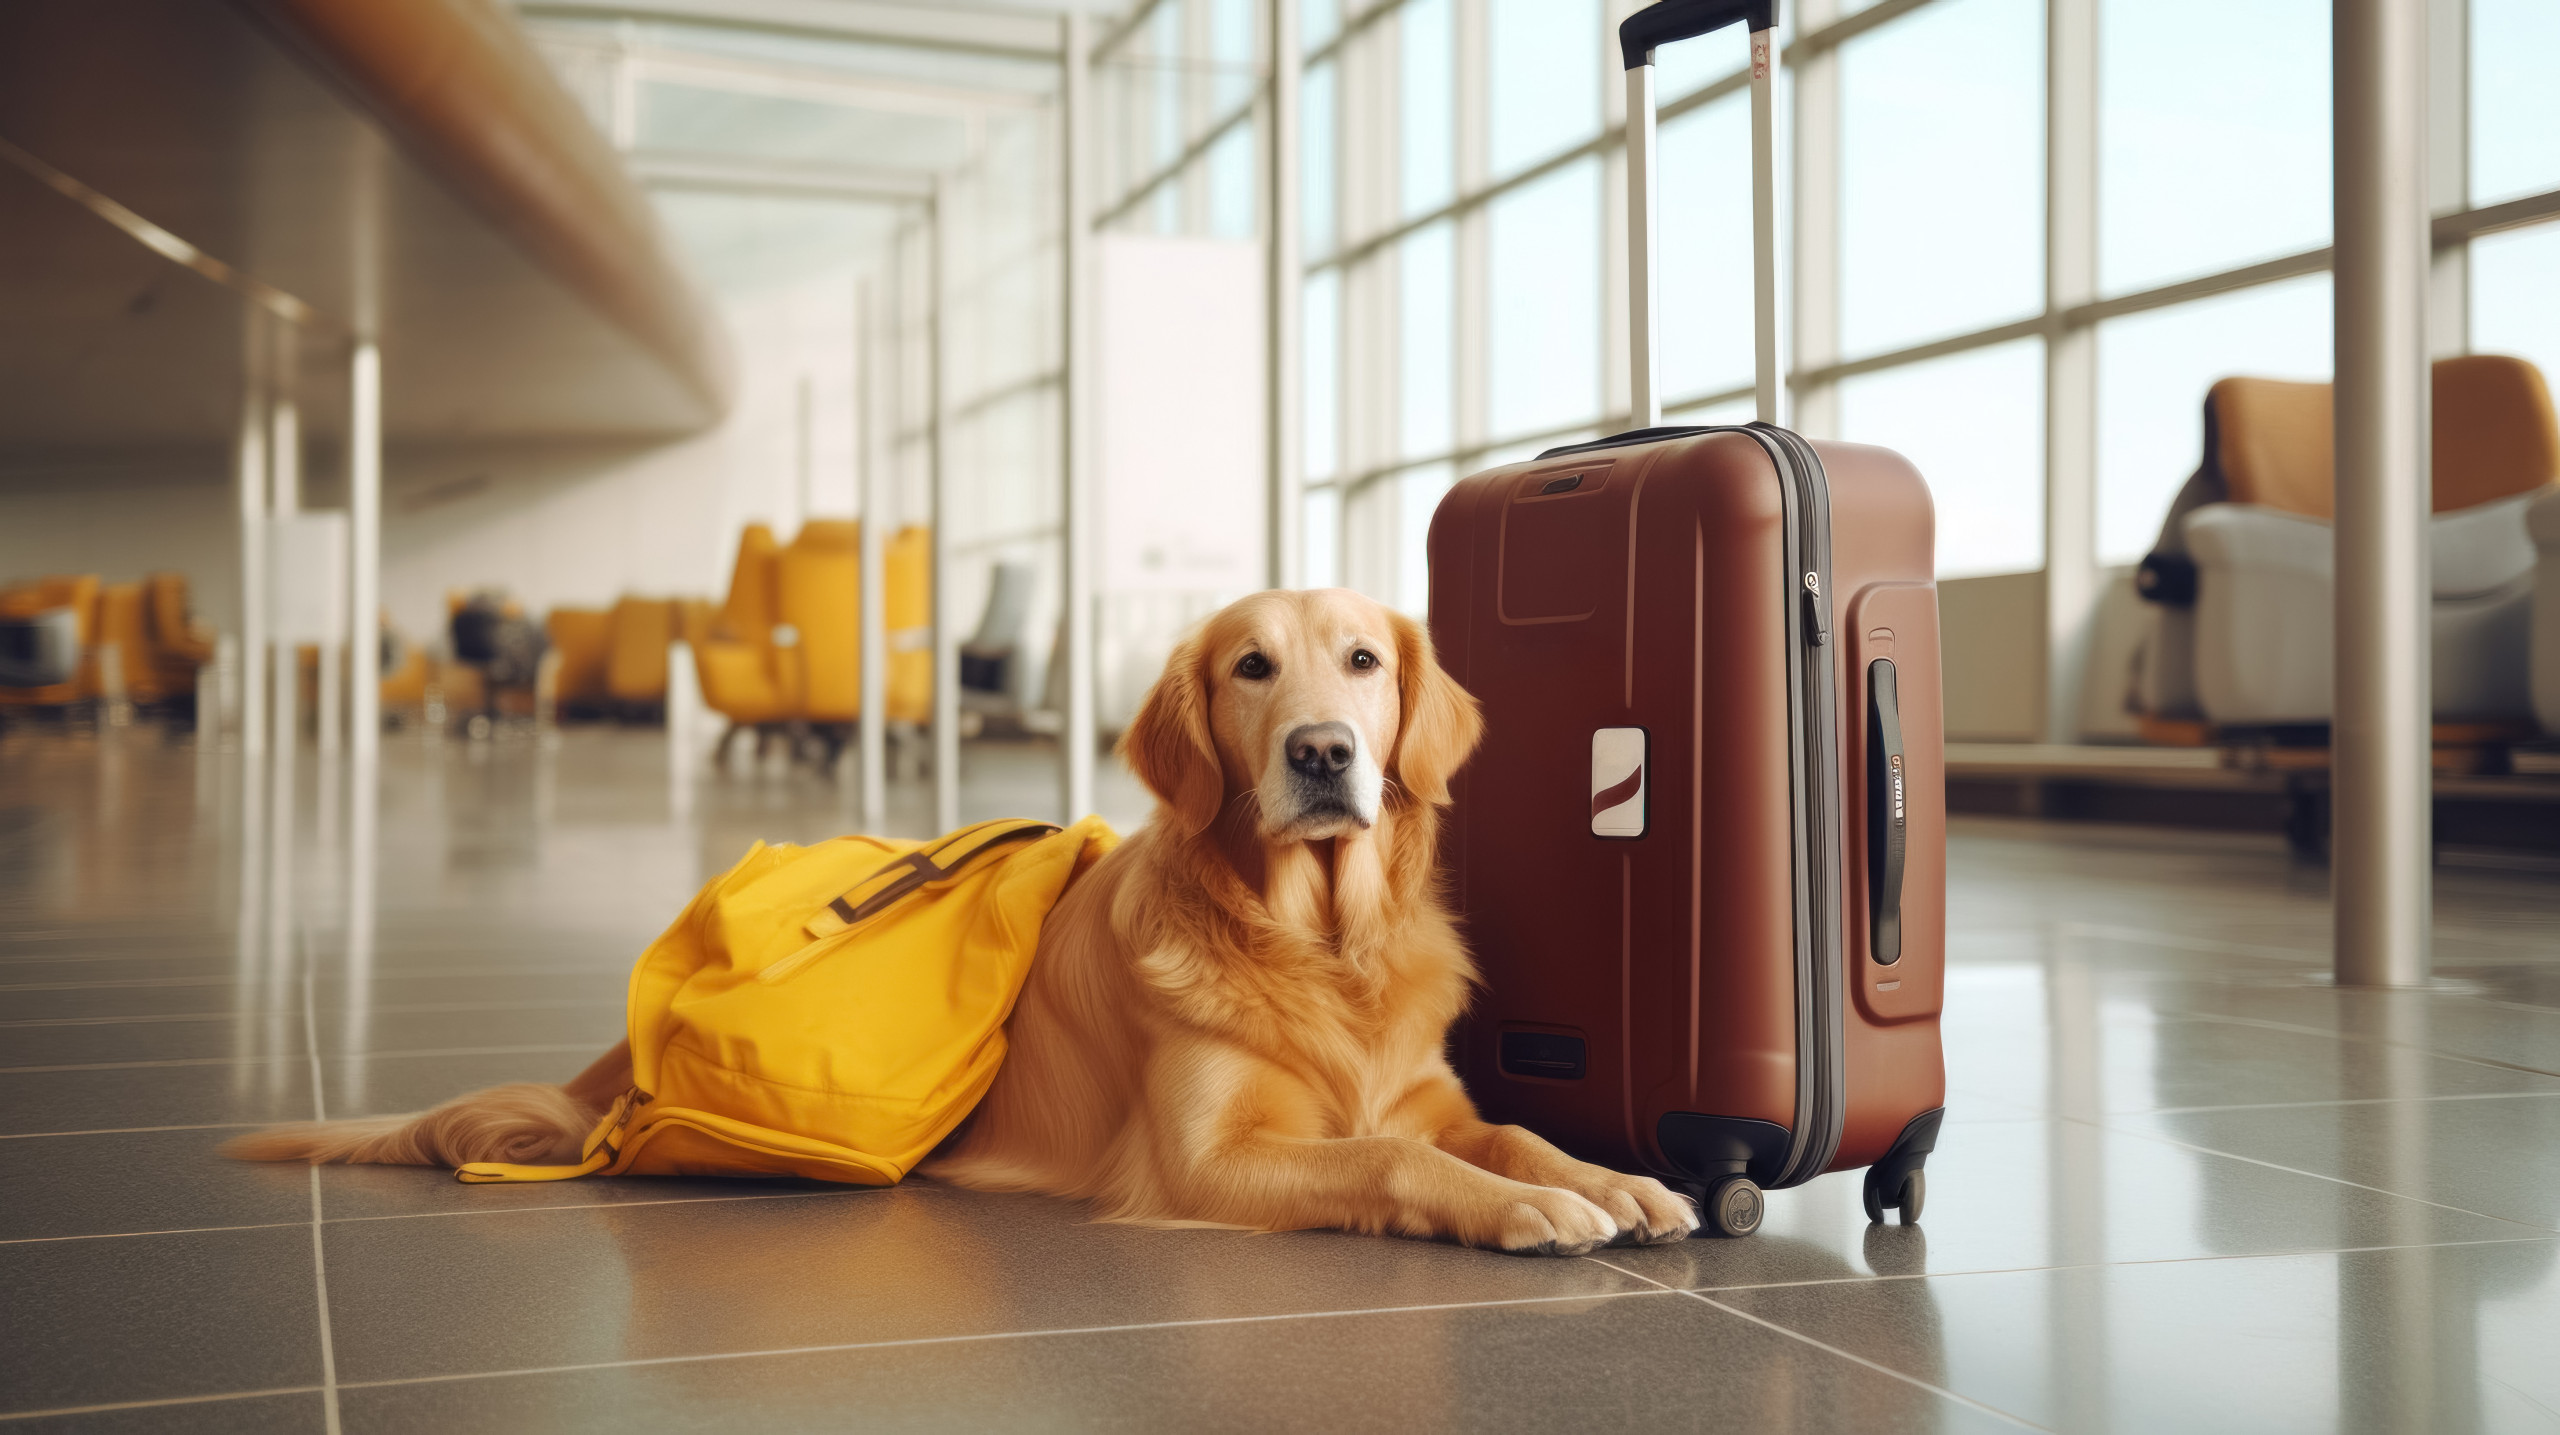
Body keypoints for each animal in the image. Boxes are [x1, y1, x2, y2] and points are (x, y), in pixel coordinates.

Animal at [225, 588, 1699, 1248]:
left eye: (1365, 661)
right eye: (1250, 668)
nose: (1325, 751)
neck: (1314, 939)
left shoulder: (1424, 1091)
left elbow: (1500, 1127)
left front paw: (1614, 1177)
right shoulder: (1204, 1162)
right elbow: (1387, 1160)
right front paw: (1533, 1208)